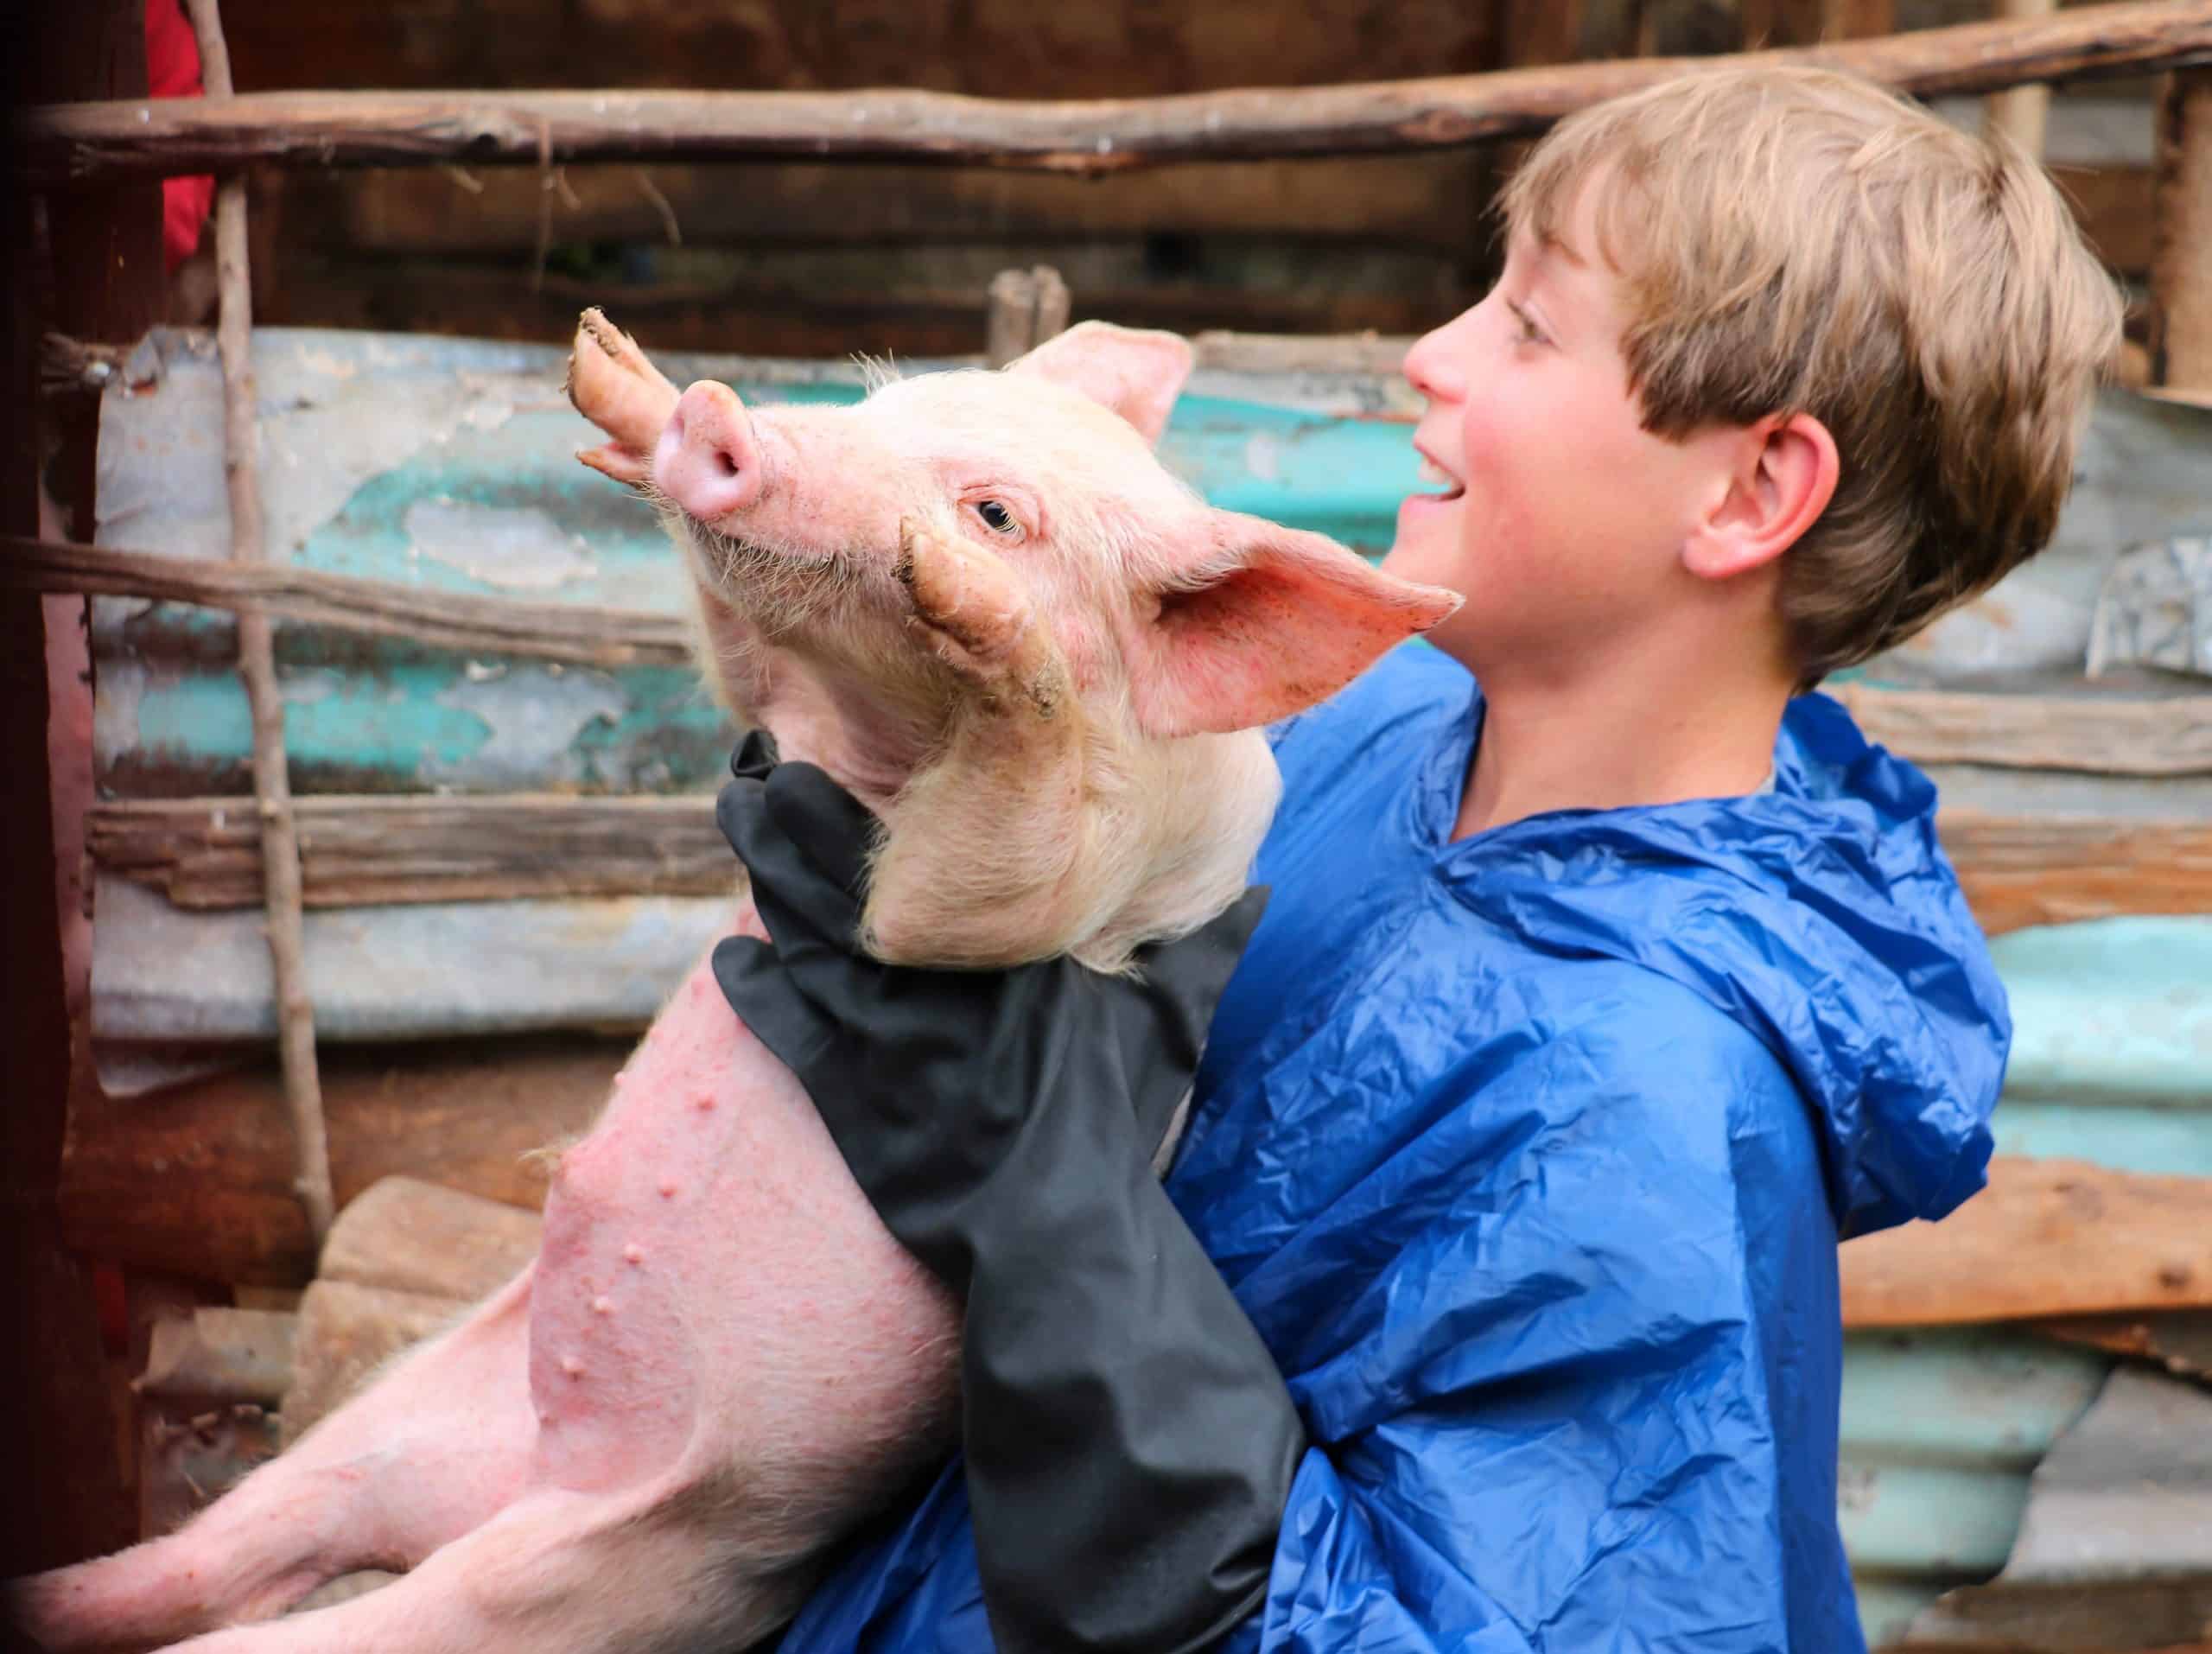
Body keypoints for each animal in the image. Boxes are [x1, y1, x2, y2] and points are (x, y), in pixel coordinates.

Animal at [9, 311, 1458, 1653]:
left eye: (995, 512)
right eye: (883, 405)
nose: (729, 419)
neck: (874, 744)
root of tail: (539, 1458)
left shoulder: (1061, 890)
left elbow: (959, 889)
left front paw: (976, 610)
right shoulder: (773, 714)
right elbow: (730, 649)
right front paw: (620, 379)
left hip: (606, 1580)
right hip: (401, 1413)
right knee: (243, 1532)